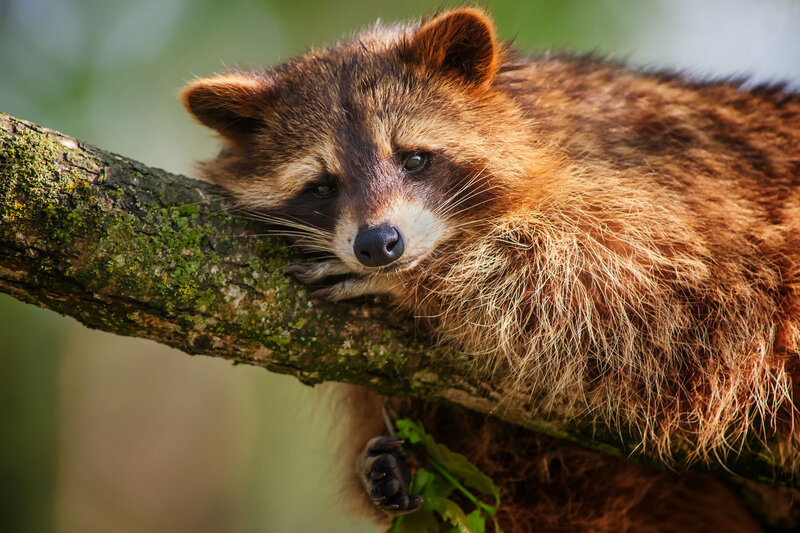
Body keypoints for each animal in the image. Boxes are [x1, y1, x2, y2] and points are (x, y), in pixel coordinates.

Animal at [182, 7, 800, 531]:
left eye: (414, 158)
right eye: (322, 186)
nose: (379, 246)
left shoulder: (688, 182)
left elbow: (653, 293)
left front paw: (421, 278)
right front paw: (399, 462)